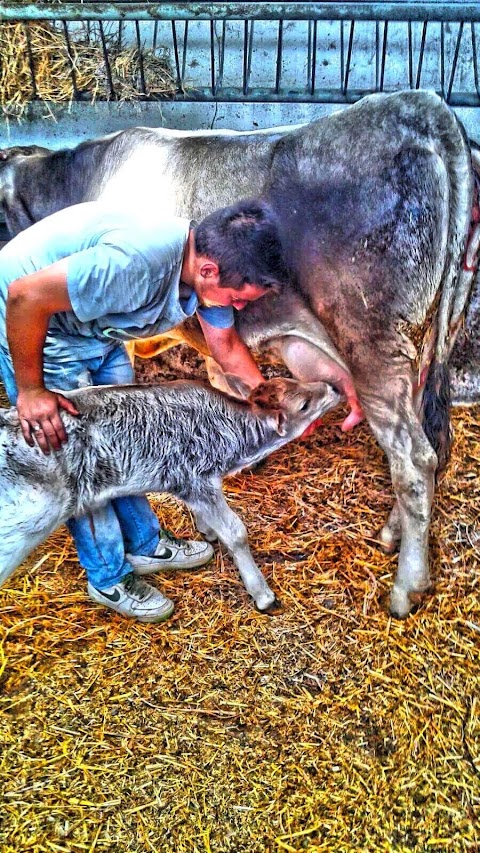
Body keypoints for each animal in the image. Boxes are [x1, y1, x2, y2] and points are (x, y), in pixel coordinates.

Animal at [0, 376, 338, 608]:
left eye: (293, 379)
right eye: (304, 404)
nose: (333, 387)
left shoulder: (189, 482)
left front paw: (206, 531)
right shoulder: (196, 478)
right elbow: (236, 533)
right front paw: (263, 595)